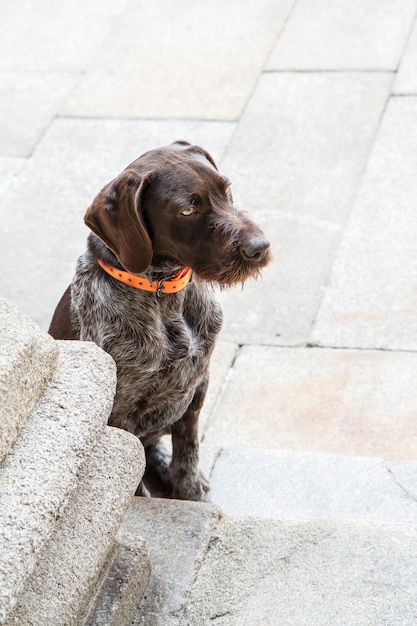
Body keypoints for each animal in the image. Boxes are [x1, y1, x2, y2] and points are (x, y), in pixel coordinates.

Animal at [48, 140, 270, 498]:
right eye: (187, 210)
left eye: (226, 190)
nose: (260, 247)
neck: (163, 293)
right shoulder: (119, 416)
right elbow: (133, 482)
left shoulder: (197, 386)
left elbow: (187, 456)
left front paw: (189, 494)